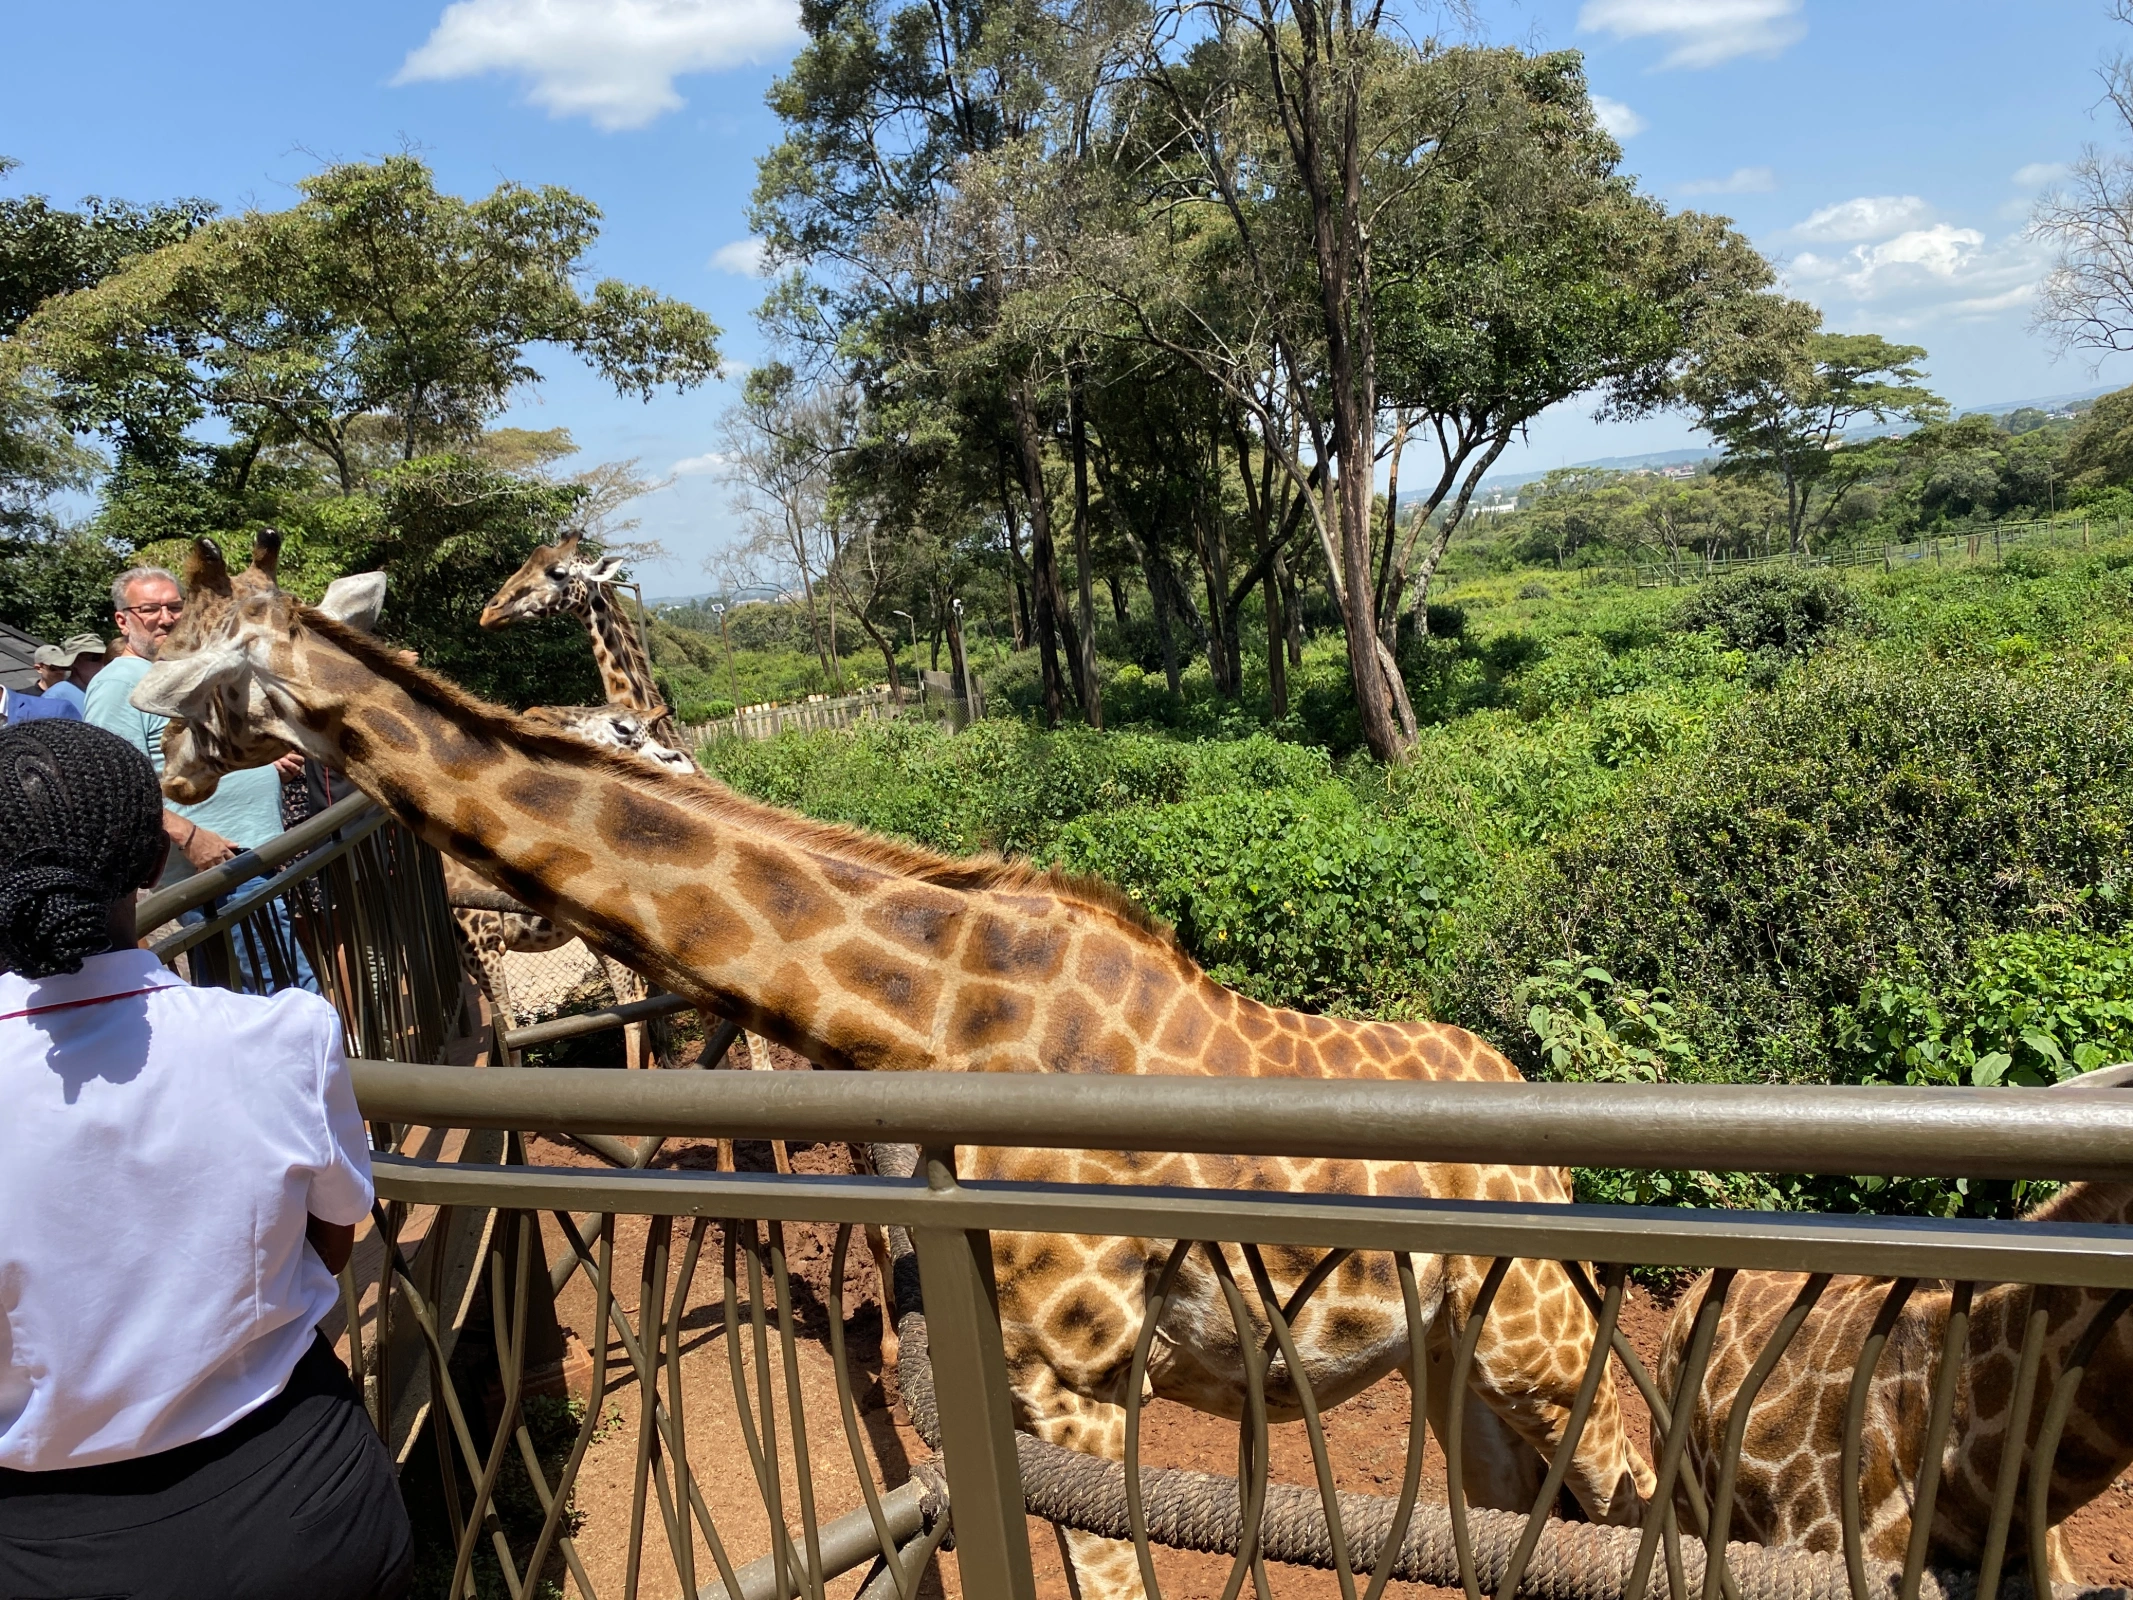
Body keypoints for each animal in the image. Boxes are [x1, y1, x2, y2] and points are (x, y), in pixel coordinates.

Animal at [134, 544, 1655, 1598]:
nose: (169, 767)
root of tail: (1522, 1103)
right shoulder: (1031, 1382)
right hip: (1456, 1361)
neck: (947, 1010)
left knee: (1637, 1490)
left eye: (181, 675)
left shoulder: (1091, 1382)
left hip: (1539, 1342)